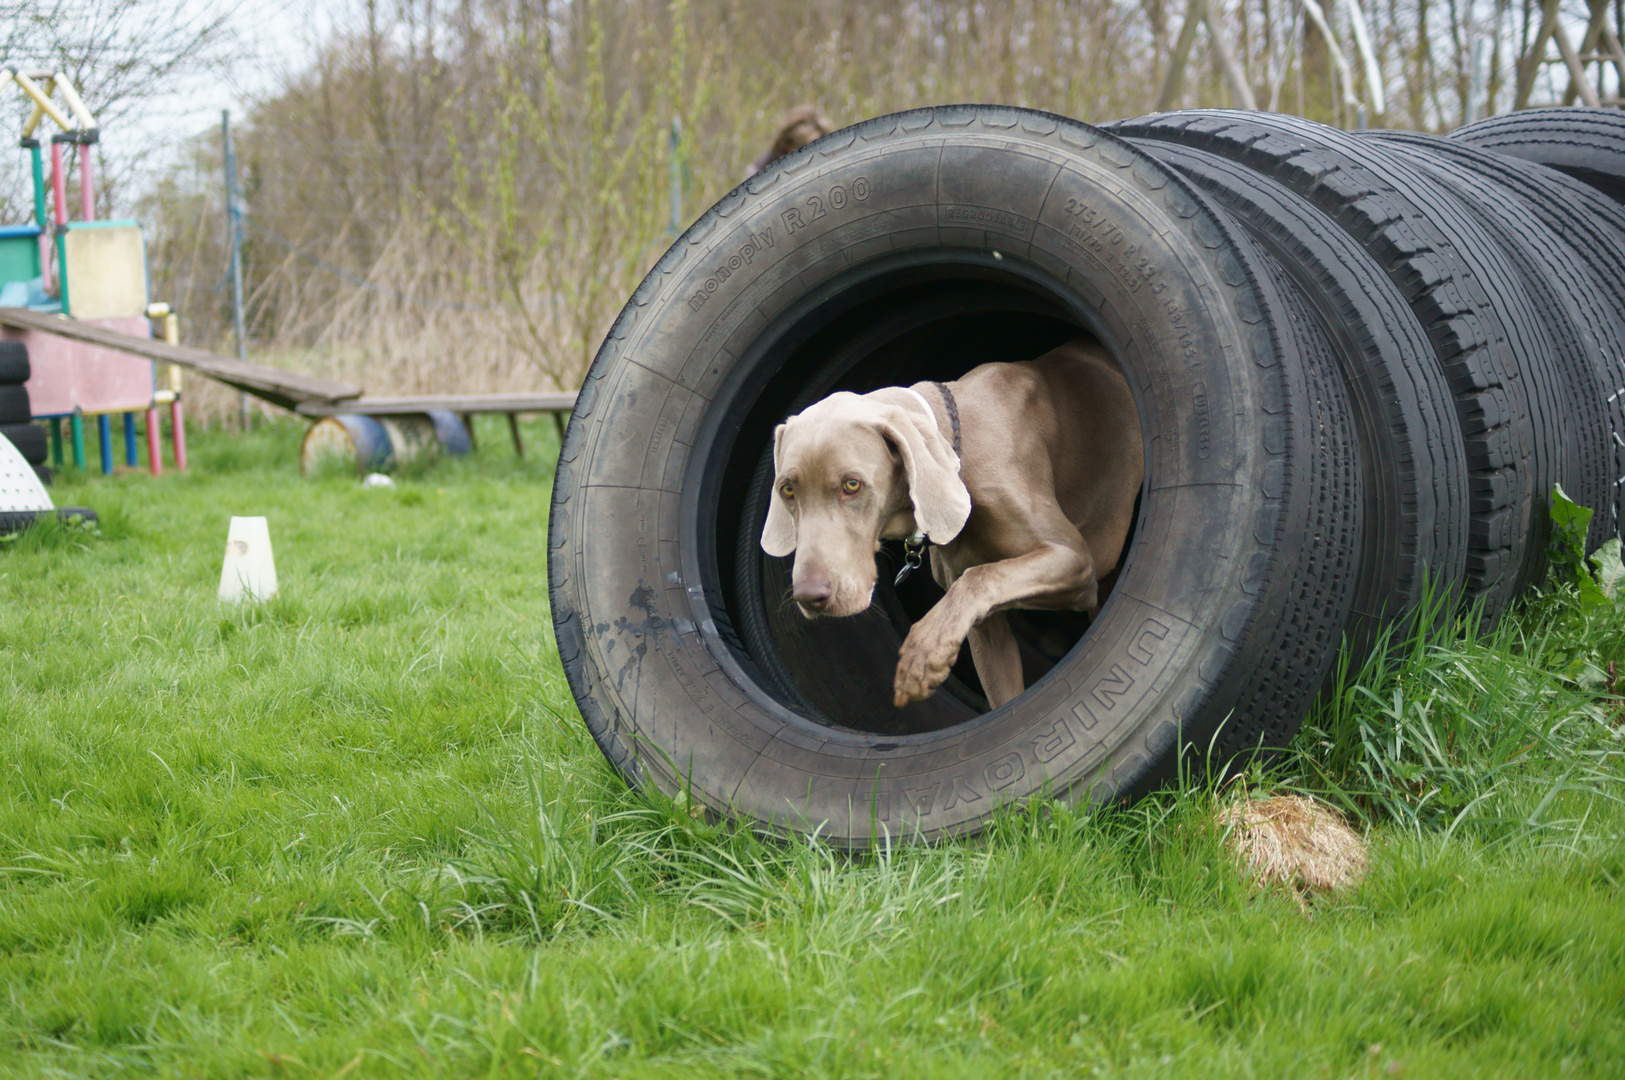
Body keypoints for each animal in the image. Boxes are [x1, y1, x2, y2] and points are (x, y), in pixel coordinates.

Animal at [763, 337, 1137, 708]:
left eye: (852, 484)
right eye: (787, 489)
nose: (809, 596)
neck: (959, 445)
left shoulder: (1073, 558)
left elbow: (978, 577)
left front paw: (922, 652)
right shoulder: (986, 630)